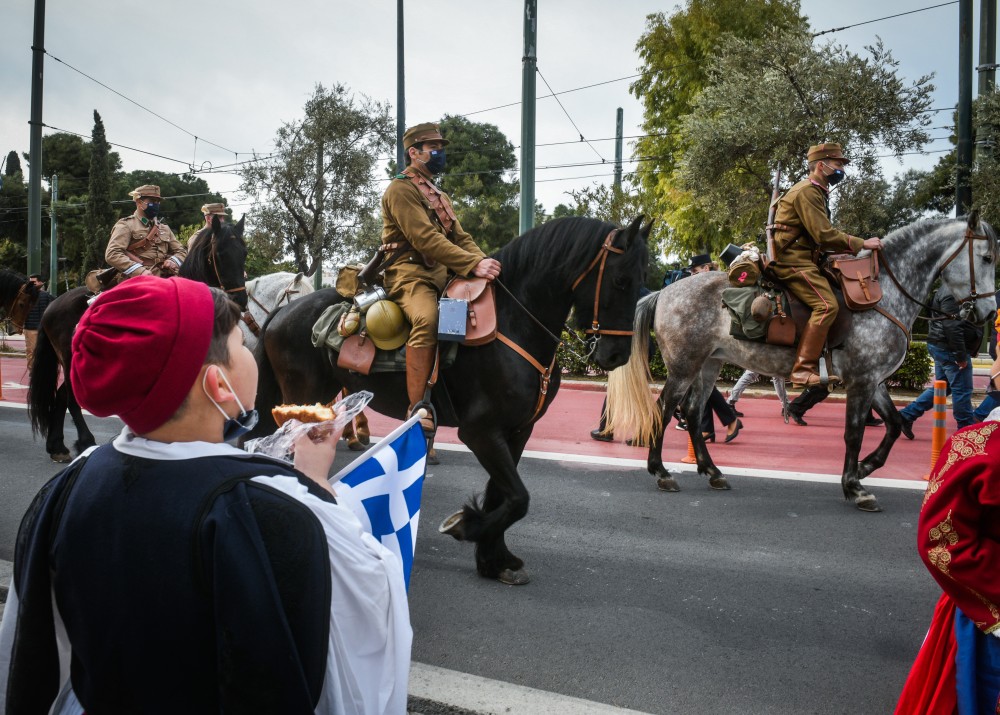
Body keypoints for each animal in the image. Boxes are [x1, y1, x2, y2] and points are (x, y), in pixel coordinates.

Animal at [27, 218, 248, 462]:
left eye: (244, 253)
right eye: (220, 253)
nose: (240, 300)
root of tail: (53, 304)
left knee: (61, 395)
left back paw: (57, 446)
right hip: (68, 359)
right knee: (72, 400)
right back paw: (86, 442)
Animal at [604, 214, 996, 516]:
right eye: (989, 257)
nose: (988, 313)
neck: (882, 292)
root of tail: (665, 292)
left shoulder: (875, 381)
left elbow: (895, 424)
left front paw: (866, 467)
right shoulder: (862, 381)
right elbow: (854, 433)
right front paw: (854, 486)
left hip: (708, 365)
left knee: (692, 409)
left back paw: (712, 470)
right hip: (684, 366)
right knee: (664, 408)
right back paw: (661, 471)